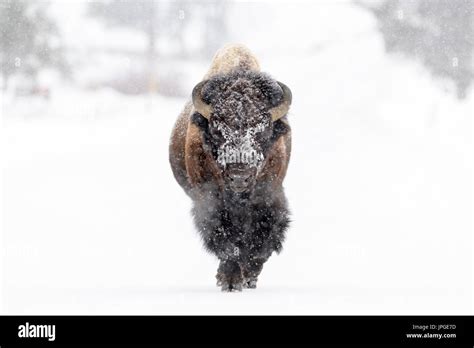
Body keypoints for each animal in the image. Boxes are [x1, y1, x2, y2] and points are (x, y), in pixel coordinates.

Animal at [168, 43, 290, 290]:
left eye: (262, 131)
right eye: (217, 130)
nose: (239, 178)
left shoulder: (269, 196)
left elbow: (262, 239)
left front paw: (248, 276)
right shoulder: (209, 200)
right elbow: (226, 240)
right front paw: (230, 280)